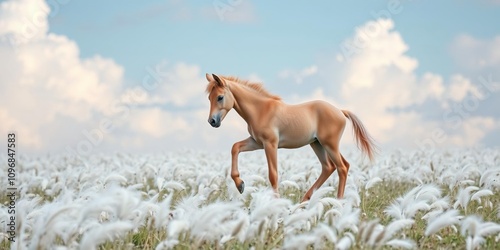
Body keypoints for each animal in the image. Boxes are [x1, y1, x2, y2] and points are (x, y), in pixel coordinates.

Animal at [204, 73, 376, 200]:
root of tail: (340, 111)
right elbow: (235, 147)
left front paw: (276, 204)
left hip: (329, 144)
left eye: (220, 97)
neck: (261, 110)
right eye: (209, 98)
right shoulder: (256, 142)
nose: (212, 121)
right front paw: (240, 185)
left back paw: (338, 203)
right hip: (318, 144)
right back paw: (304, 201)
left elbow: (273, 175)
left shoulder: (270, 144)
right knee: (330, 167)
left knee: (341, 168)